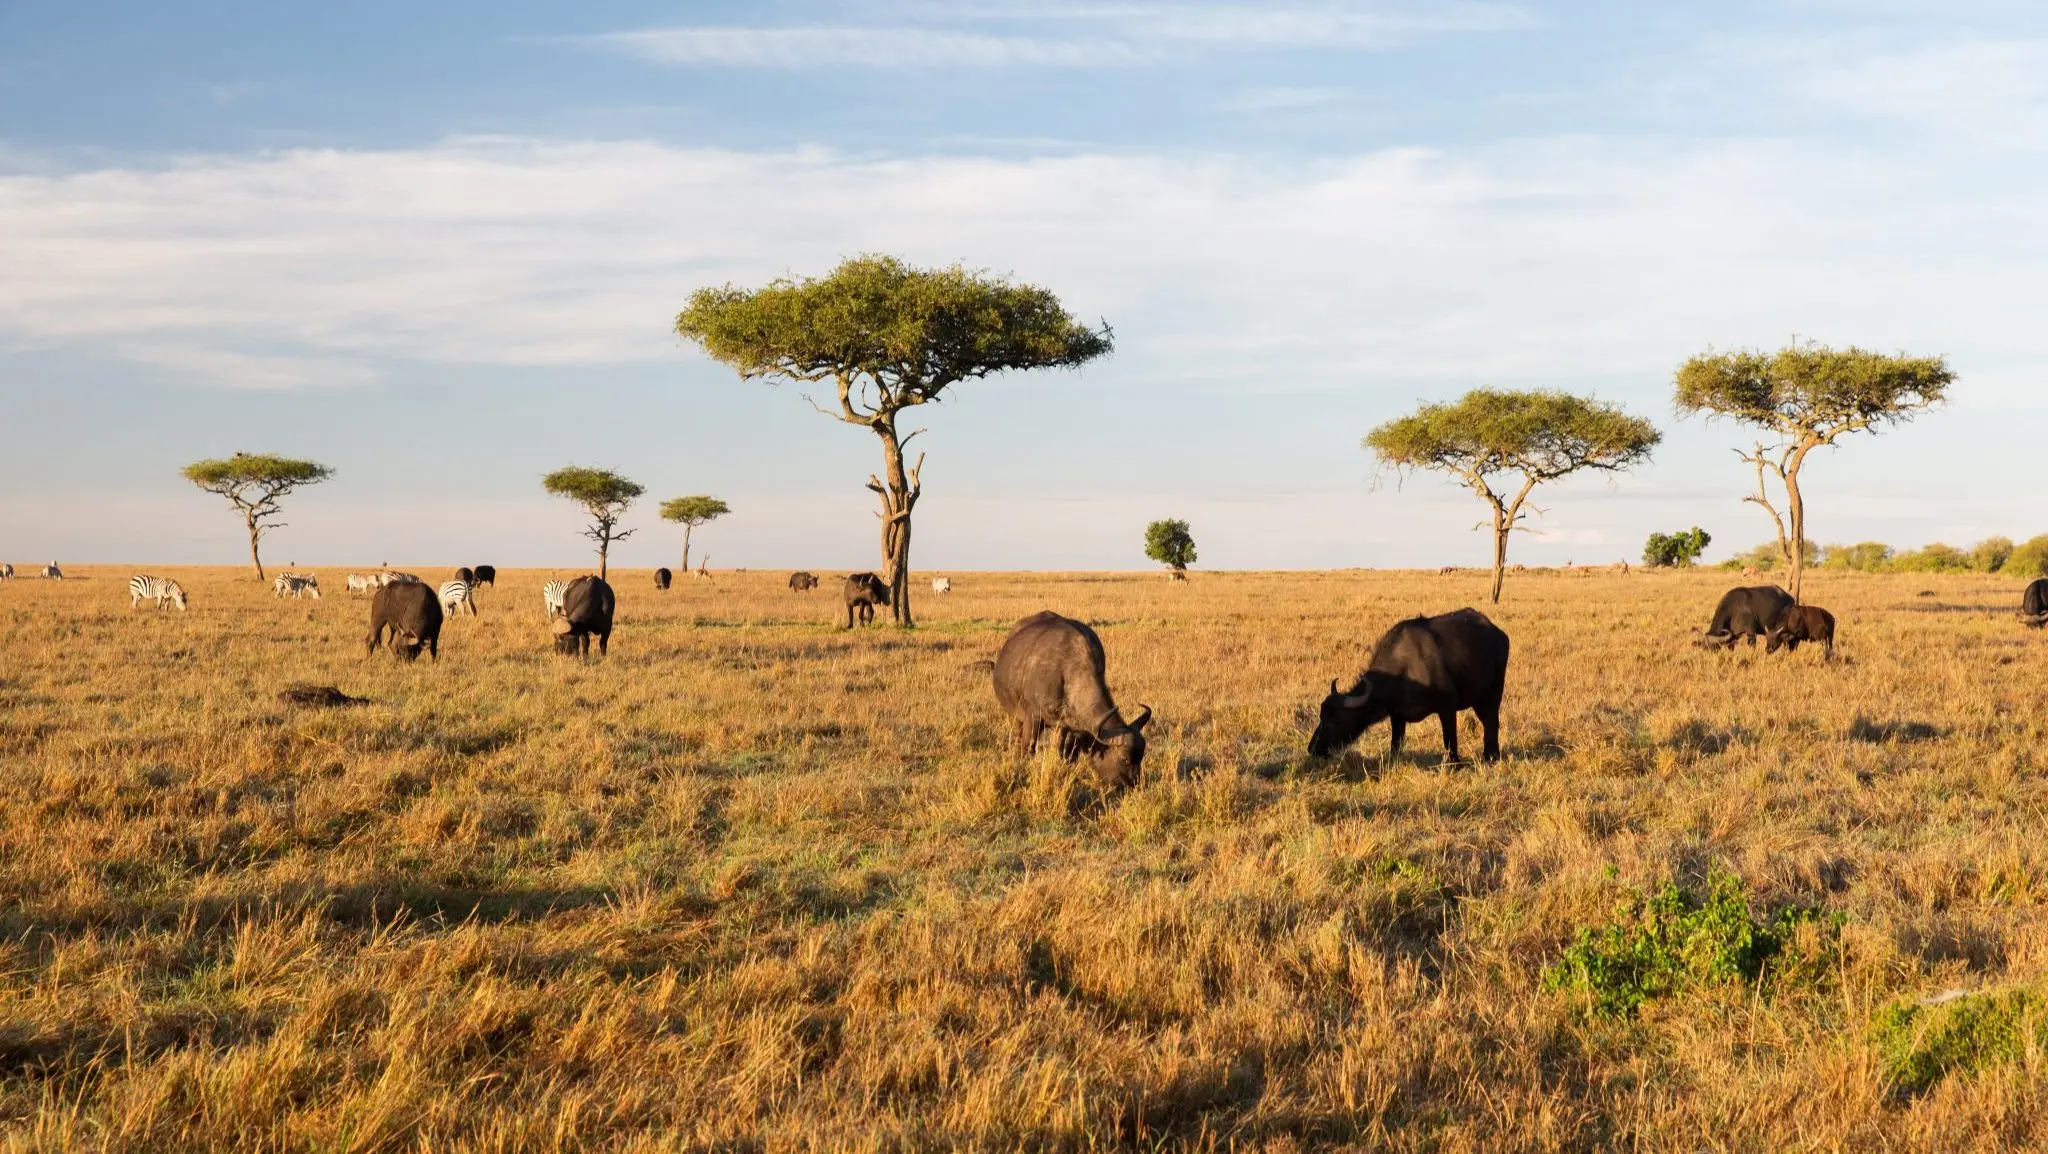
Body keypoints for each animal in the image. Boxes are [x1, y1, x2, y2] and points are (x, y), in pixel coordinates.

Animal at [992, 611, 1154, 790]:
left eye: (1141, 756)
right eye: (1125, 759)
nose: (1134, 784)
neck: (1066, 672)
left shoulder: (1064, 726)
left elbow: (1061, 750)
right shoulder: (1032, 718)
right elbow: (1028, 749)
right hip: (1013, 716)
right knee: (1016, 738)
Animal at [1307, 608, 1509, 765]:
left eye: (1335, 719)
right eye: (1321, 716)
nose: (1313, 748)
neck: (1404, 669)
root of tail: (1498, 633)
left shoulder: (1447, 706)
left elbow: (1449, 737)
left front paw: (1455, 764)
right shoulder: (1397, 715)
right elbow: (1396, 743)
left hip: (1493, 693)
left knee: (1492, 721)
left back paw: (1490, 757)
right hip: (1478, 699)